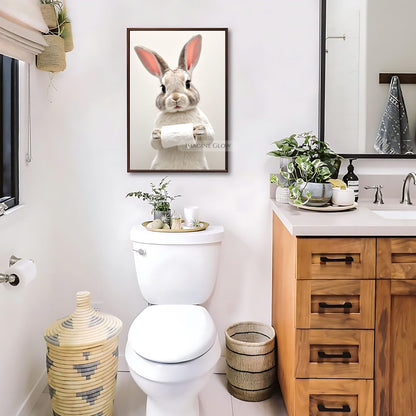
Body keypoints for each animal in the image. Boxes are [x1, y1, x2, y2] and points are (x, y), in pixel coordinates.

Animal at [136, 35, 214, 170]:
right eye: (163, 88)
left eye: (188, 83)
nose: (176, 97)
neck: (178, 112)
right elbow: (153, 143)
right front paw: (156, 134)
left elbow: (210, 136)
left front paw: (199, 129)